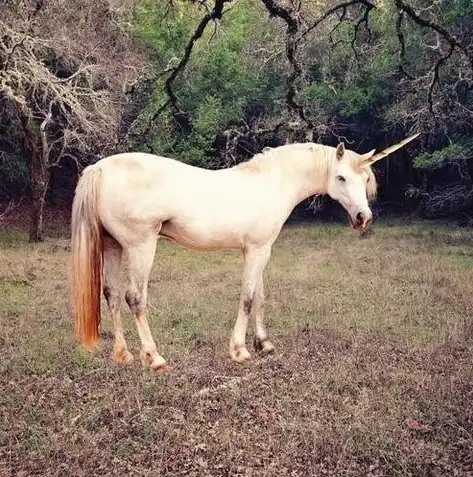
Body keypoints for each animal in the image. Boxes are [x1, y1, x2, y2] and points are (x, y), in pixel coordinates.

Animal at [70, 135, 416, 372]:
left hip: (113, 246)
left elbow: (260, 296)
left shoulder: (261, 251)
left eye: (365, 178)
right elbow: (248, 298)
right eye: (341, 177)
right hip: (141, 246)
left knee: (112, 295)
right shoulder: (256, 250)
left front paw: (264, 344)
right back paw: (153, 357)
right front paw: (239, 350)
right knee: (134, 298)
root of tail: (100, 168)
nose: (362, 218)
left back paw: (122, 355)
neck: (272, 183)